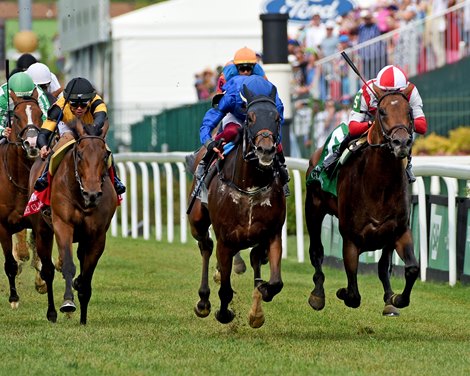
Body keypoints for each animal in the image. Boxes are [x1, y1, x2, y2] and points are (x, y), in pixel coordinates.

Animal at [29, 119, 117, 324]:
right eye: (80, 154)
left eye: (105, 155)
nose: (92, 194)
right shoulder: (63, 225)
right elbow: (68, 265)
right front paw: (68, 302)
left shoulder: (97, 235)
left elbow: (86, 274)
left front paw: (83, 317)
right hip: (42, 231)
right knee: (48, 270)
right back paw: (51, 313)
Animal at [188, 83, 286, 328]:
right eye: (250, 118)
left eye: (277, 117)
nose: (266, 150)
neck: (249, 186)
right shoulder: (226, 239)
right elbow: (225, 288)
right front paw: (224, 313)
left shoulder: (272, 233)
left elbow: (275, 282)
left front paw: (262, 294)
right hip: (197, 221)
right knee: (205, 246)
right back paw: (203, 301)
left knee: (253, 258)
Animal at [304, 84, 418, 314]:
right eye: (381, 112)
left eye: (409, 112)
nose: (401, 142)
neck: (379, 185)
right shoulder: (351, 238)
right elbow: (354, 295)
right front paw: (342, 292)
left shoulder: (399, 230)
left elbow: (411, 269)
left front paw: (396, 299)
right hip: (313, 209)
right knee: (316, 252)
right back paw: (317, 294)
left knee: (383, 266)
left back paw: (389, 299)